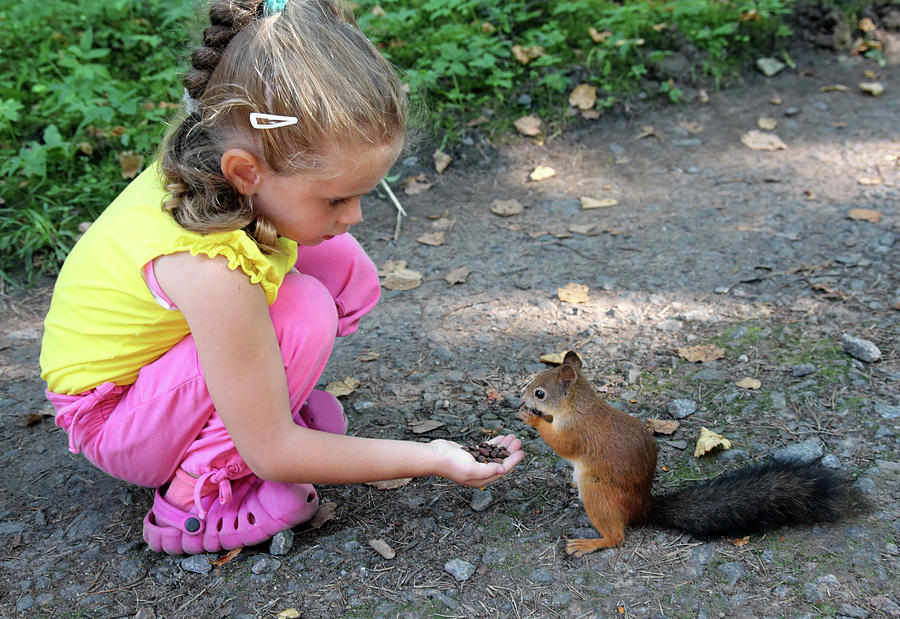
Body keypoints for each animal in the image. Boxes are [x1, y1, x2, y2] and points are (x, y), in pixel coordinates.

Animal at [516, 352, 856, 560]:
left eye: (540, 393)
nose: (521, 396)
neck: (579, 406)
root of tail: (642, 508)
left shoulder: (578, 432)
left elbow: (562, 445)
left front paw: (531, 418)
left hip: (598, 493)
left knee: (617, 537)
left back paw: (589, 543)